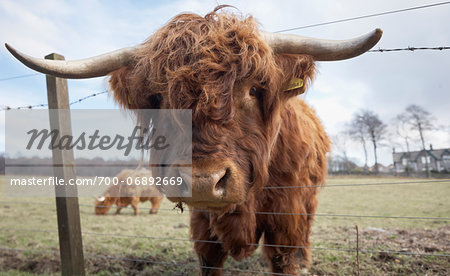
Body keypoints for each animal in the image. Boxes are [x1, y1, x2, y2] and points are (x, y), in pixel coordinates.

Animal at [5, 6, 382, 276]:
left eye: (253, 89)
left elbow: (285, 260)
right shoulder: (203, 228)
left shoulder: (286, 221)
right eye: (158, 97)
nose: (202, 182)